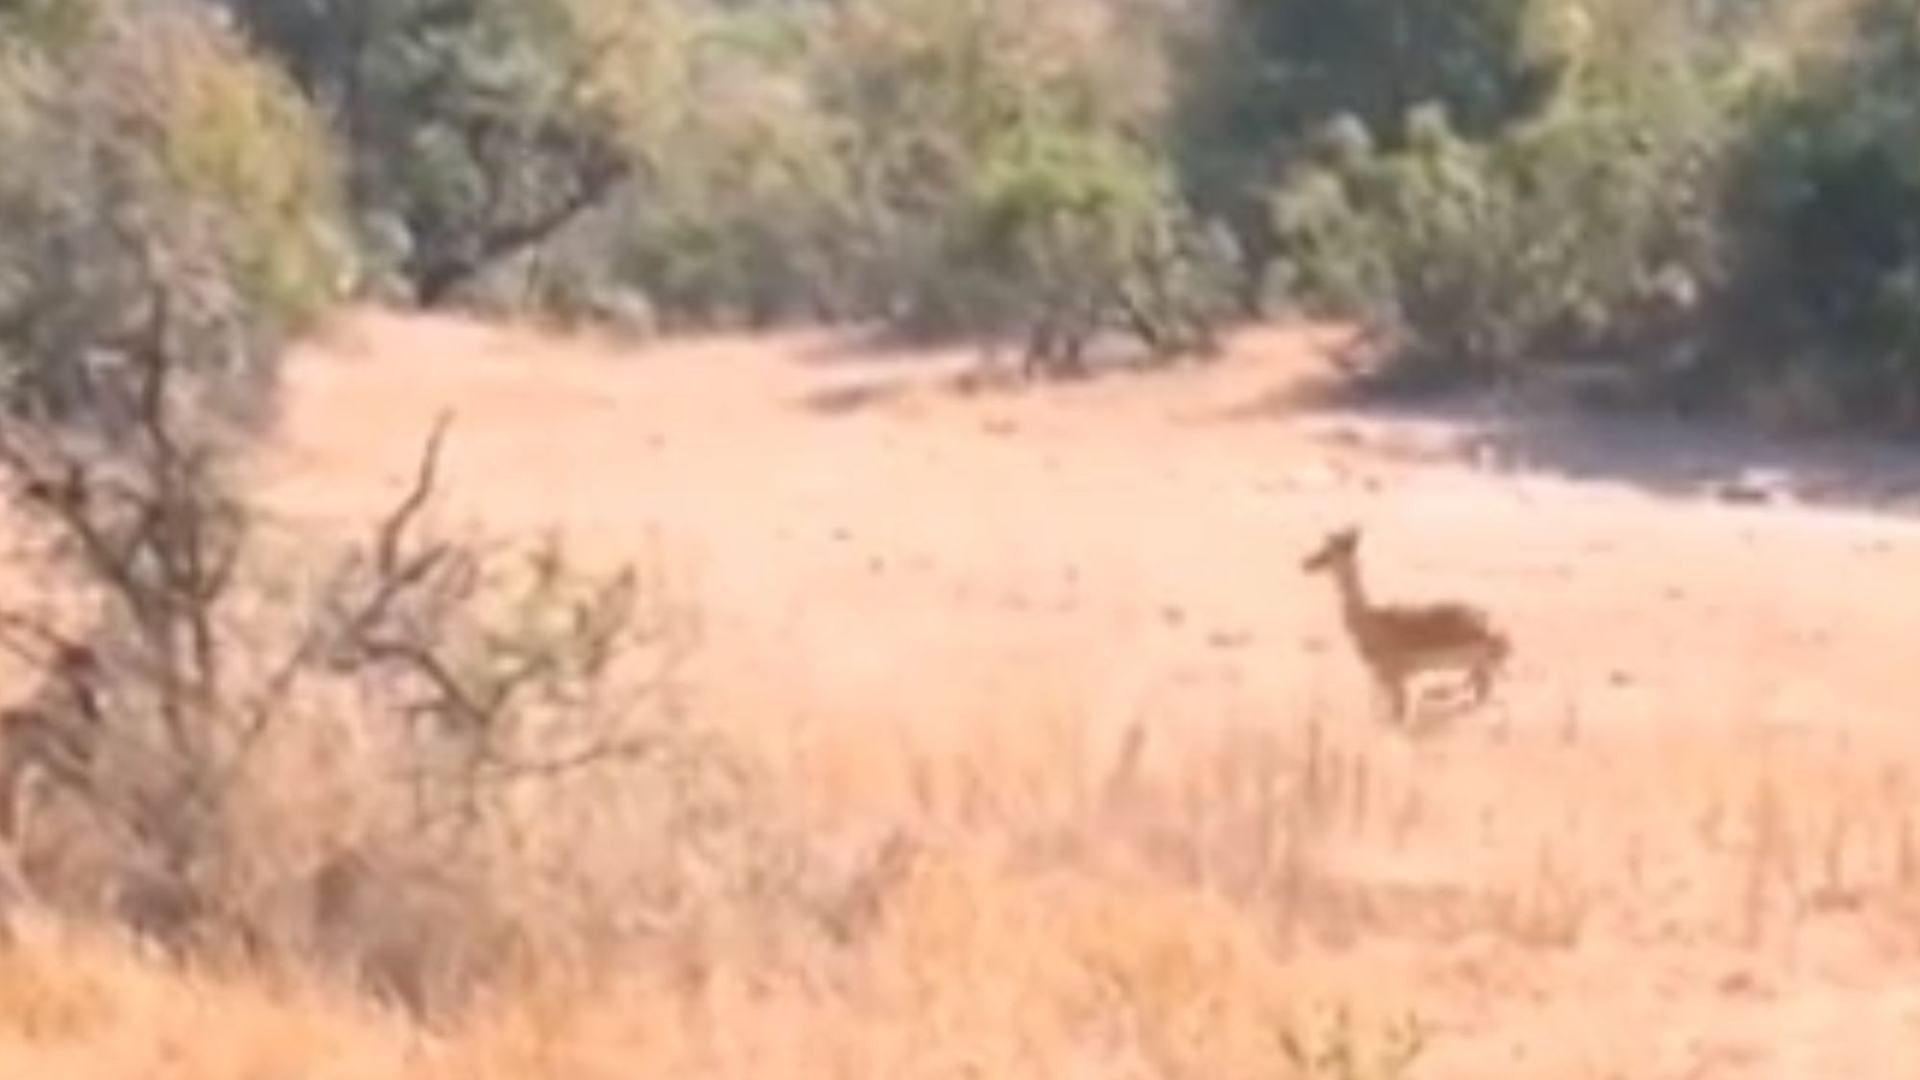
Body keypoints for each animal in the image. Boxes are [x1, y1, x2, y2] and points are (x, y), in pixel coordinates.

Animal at [1305, 522, 1512, 722]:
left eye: (1328, 552)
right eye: (1324, 546)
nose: (1306, 563)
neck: (1370, 621)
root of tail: (1492, 622)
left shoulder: (1395, 677)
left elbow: (1398, 714)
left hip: (1478, 664)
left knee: (1482, 691)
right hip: (1477, 666)